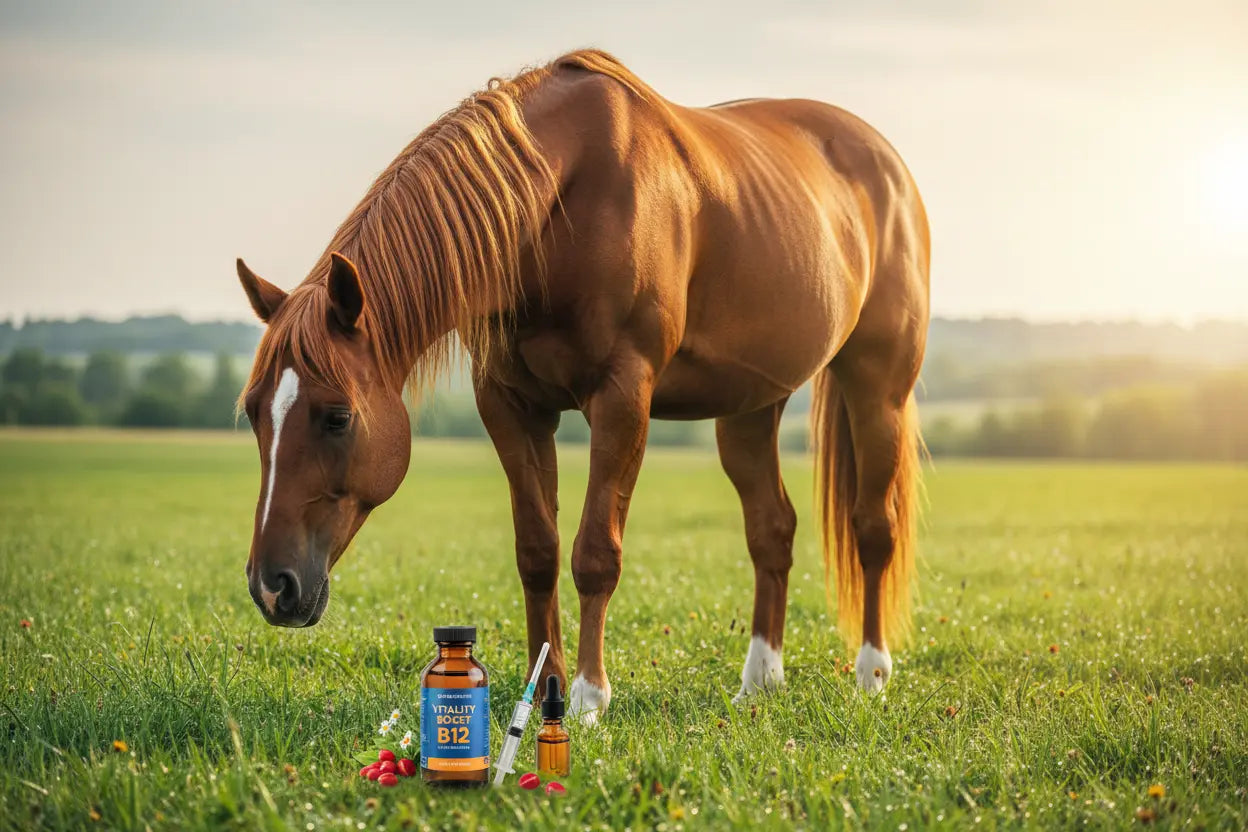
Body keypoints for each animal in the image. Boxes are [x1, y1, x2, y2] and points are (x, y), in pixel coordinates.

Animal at [236, 49, 929, 723]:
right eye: (252, 413)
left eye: (337, 416)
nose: (272, 587)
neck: (556, 210)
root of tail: (888, 165)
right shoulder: (510, 406)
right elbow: (537, 552)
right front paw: (546, 688)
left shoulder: (621, 397)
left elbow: (595, 553)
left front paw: (591, 698)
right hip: (751, 407)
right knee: (772, 530)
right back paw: (760, 682)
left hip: (878, 389)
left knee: (874, 526)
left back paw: (871, 674)